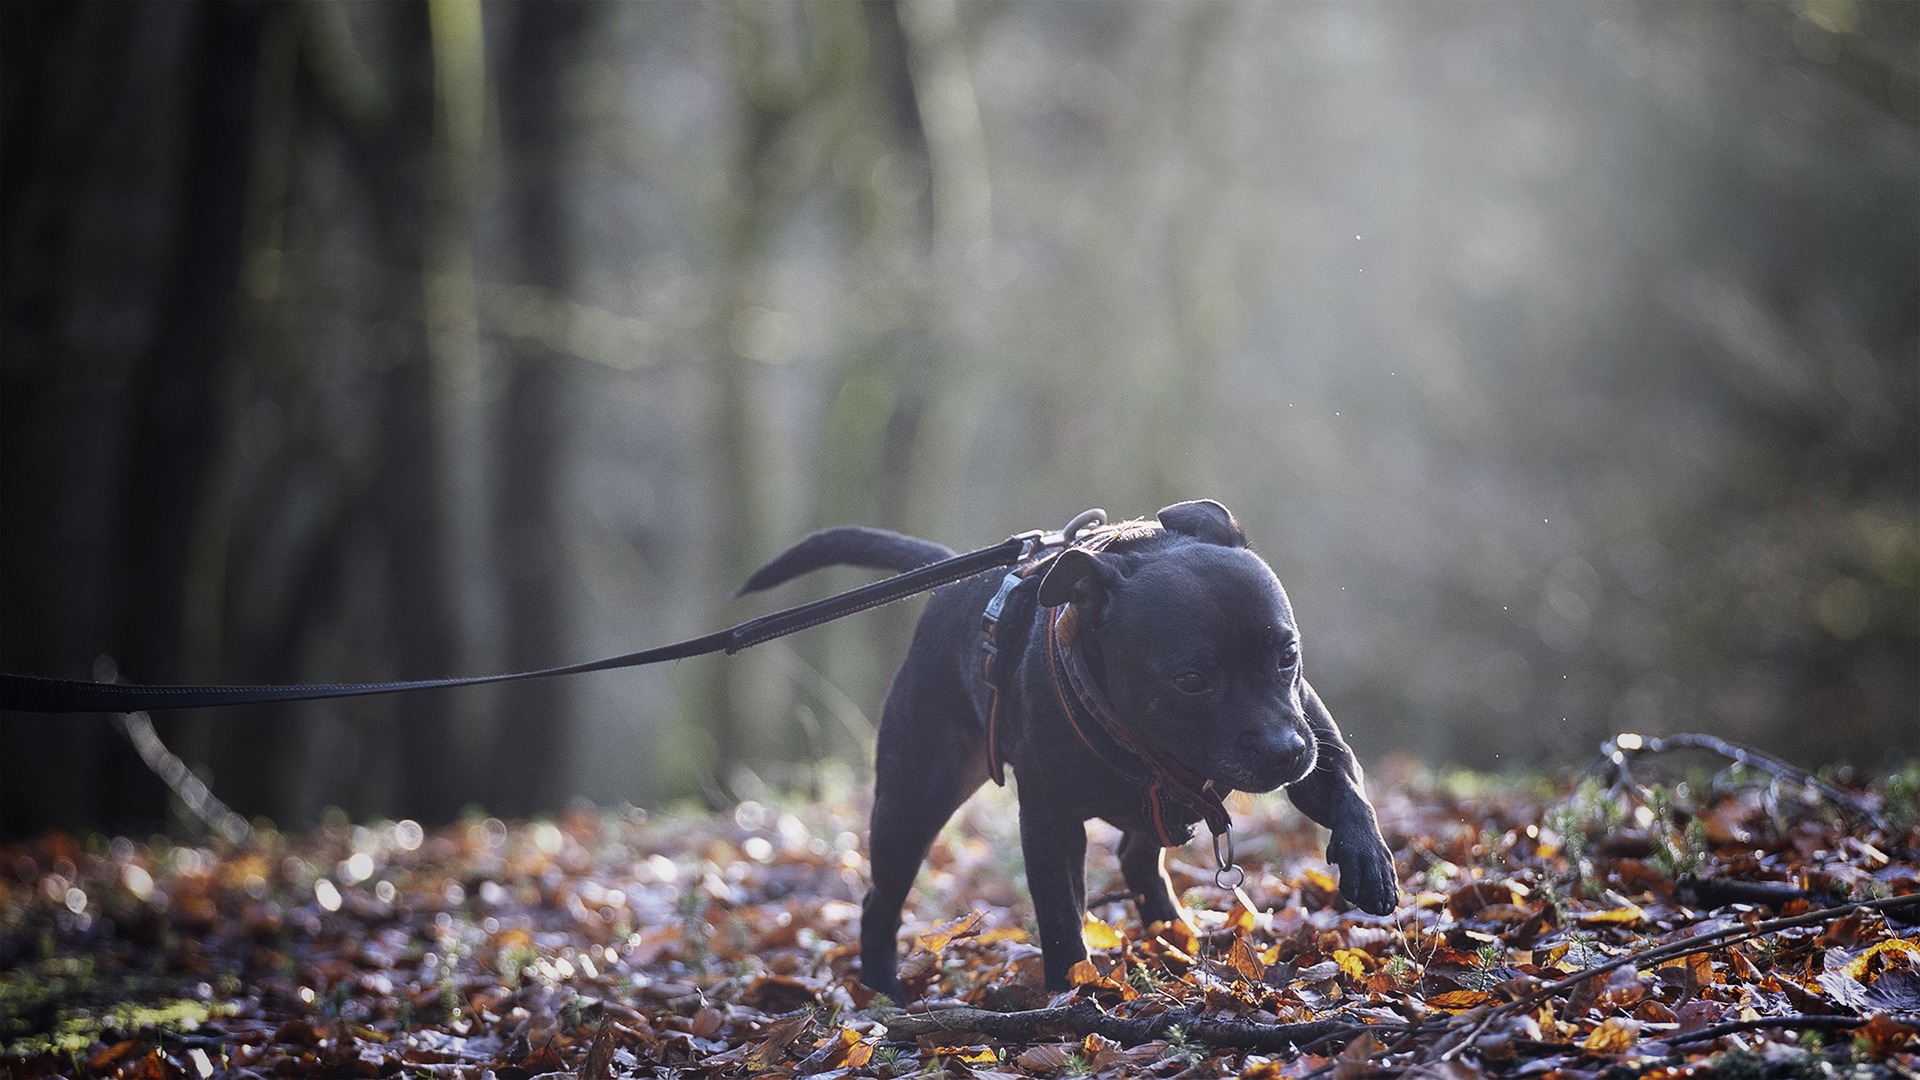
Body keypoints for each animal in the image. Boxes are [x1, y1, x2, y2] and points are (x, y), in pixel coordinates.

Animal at [737, 495, 1397, 991]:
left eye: (1287, 654)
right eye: (1191, 679)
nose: (1284, 751)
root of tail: (955, 584)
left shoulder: (1314, 741)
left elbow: (1346, 789)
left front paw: (1370, 863)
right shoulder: (1050, 822)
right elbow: (1059, 917)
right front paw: (1075, 996)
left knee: (1137, 857)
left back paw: (1175, 937)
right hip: (912, 801)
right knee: (881, 900)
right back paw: (882, 994)